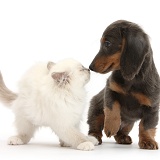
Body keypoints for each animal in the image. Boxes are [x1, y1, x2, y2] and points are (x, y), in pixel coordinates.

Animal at [87, 20, 160, 150]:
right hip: (96, 111)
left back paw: (123, 137)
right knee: (95, 126)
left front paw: (147, 140)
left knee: (122, 132)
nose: (90, 67)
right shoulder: (110, 89)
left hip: (129, 124)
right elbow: (112, 108)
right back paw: (95, 136)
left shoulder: (152, 107)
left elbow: (146, 125)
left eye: (107, 43)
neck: (132, 80)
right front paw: (111, 126)